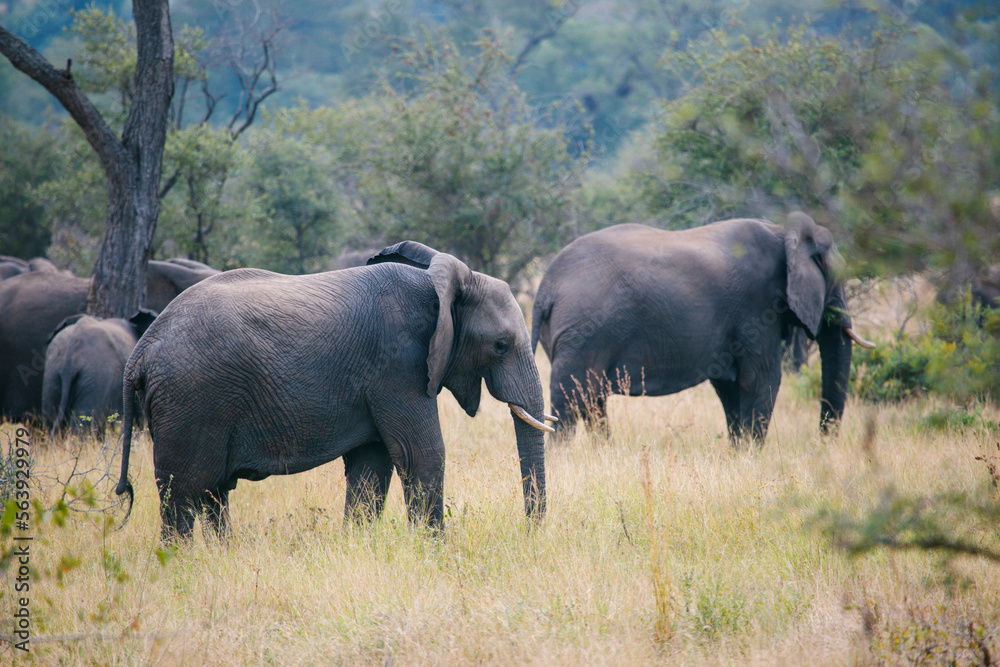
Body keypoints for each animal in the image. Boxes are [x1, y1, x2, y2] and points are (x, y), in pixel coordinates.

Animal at [114, 241, 552, 540]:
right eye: (500, 345)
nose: (530, 532)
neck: (436, 285)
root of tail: (139, 354)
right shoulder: (398, 364)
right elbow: (421, 454)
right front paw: (436, 551)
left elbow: (371, 465)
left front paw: (359, 545)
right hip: (191, 401)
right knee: (183, 495)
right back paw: (181, 561)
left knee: (212, 494)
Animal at [531, 214, 874, 443]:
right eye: (836, 279)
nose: (823, 441)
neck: (784, 233)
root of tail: (546, 286)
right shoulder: (756, 308)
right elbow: (760, 379)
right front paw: (752, 454)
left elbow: (730, 386)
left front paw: (739, 453)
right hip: (583, 332)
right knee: (570, 400)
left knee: (592, 400)